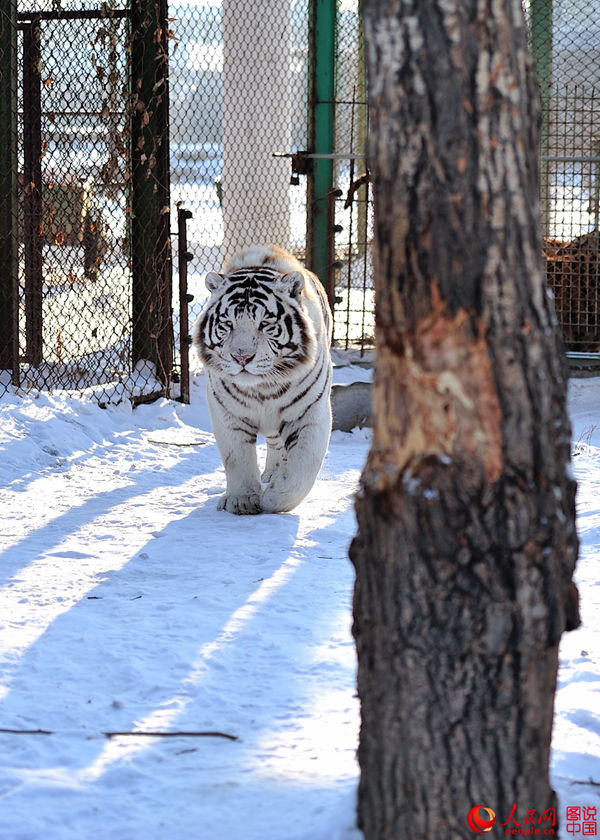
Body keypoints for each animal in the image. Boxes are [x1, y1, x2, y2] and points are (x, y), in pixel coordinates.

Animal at [193, 246, 330, 516]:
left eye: (265, 323)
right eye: (228, 323)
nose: (241, 356)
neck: (263, 388)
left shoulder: (310, 412)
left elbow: (301, 469)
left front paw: (273, 499)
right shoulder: (228, 413)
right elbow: (238, 460)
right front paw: (241, 501)